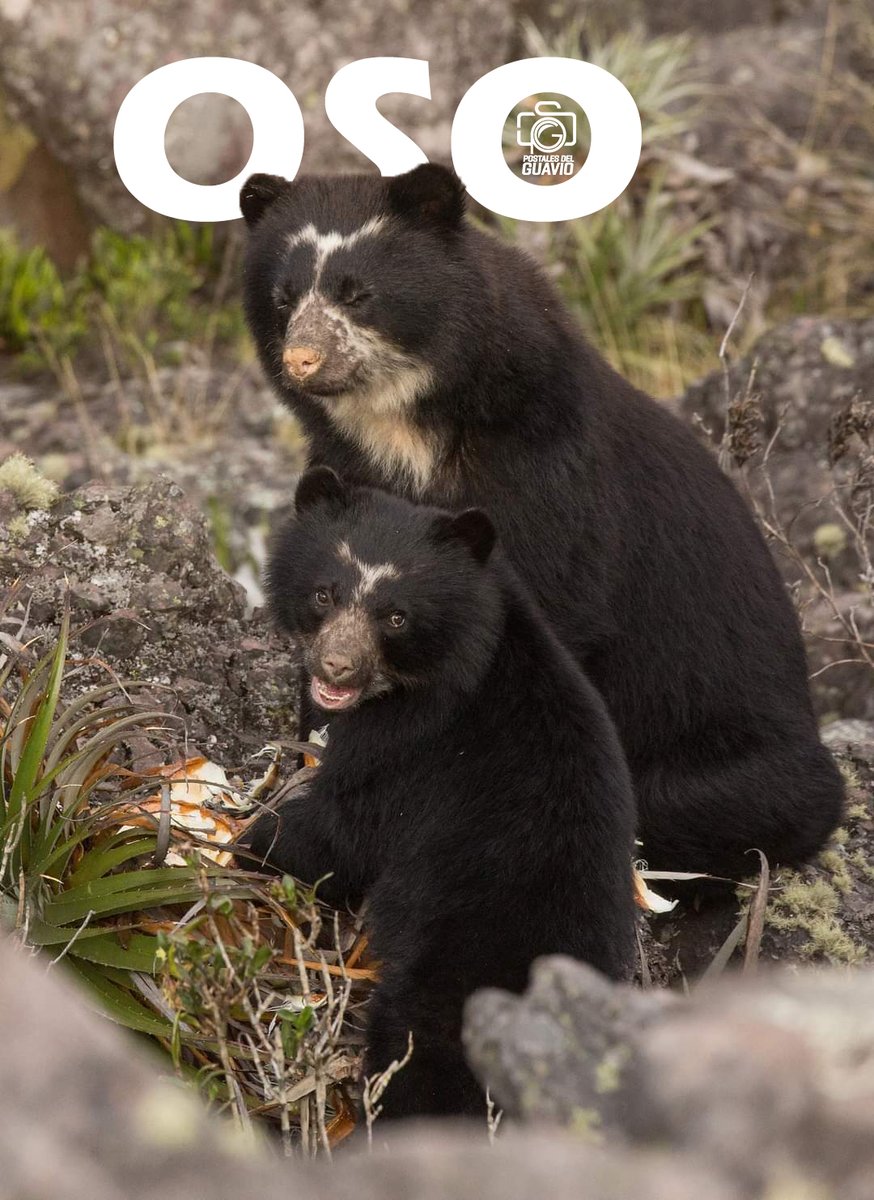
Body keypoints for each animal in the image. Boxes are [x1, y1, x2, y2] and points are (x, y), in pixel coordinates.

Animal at [239, 163, 844, 879]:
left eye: (357, 294)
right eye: (283, 299)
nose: (301, 360)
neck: (407, 427)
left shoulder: (547, 477)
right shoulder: (351, 470)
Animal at [245, 465, 638, 1120]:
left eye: (396, 617)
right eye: (325, 593)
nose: (335, 667)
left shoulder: (415, 758)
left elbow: (336, 836)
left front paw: (245, 839)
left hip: (454, 959)